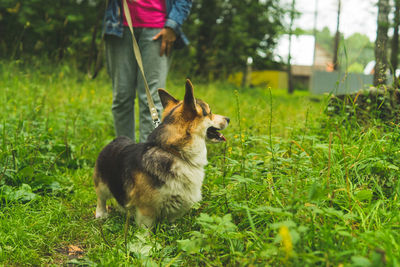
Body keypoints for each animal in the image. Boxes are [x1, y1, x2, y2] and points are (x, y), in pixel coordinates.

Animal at [94, 79, 230, 228]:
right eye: (210, 112)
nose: (228, 119)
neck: (174, 152)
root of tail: (117, 139)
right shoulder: (146, 210)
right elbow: (146, 228)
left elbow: (171, 221)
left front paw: (171, 229)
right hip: (102, 184)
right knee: (101, 198)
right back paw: (101, 214)